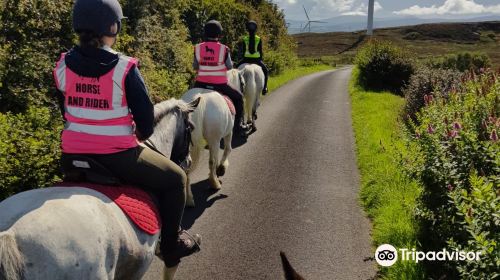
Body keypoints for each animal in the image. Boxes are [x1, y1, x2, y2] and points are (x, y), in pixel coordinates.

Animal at [181, 75, 245, 207]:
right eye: (242, 83)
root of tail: (201, 100)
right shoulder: (228, 133)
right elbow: (227, 149)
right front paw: (221, 168)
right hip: (214, 140)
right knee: (212, 161)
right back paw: (215, 183)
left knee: (186, 168)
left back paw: (189, 199)